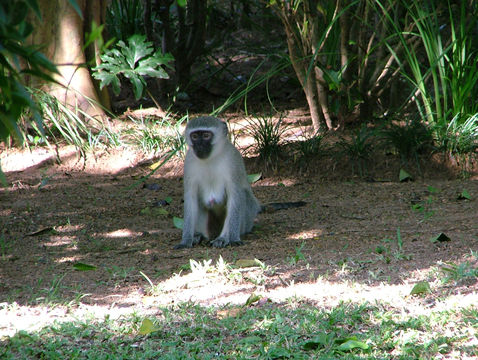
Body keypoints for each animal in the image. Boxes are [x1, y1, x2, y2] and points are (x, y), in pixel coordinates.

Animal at [176, 116, 306, 249]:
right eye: (195, 136)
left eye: (206, 136)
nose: (199, 146)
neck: (211, 158)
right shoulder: (189, 162)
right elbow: (191, 199)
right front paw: (186, 240)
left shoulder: (233, 160)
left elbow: (235, 196)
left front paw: (232, 238)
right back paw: (200, 235)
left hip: (246, 222)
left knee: (243, 195)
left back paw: (222, 238)